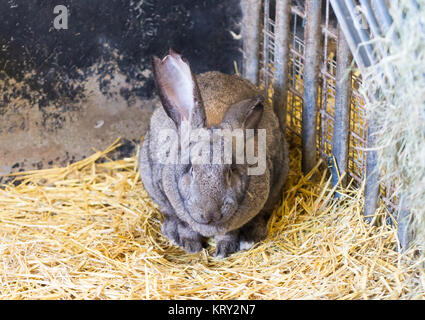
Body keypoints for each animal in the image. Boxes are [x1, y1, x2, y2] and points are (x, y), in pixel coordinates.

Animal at [139, 50, 288, 258]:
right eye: (191, 169)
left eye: (231, 170)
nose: (211, 214)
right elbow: (185, 226)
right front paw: (191, 247)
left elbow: (229, 233)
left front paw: (223, 251)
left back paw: (250, 238)